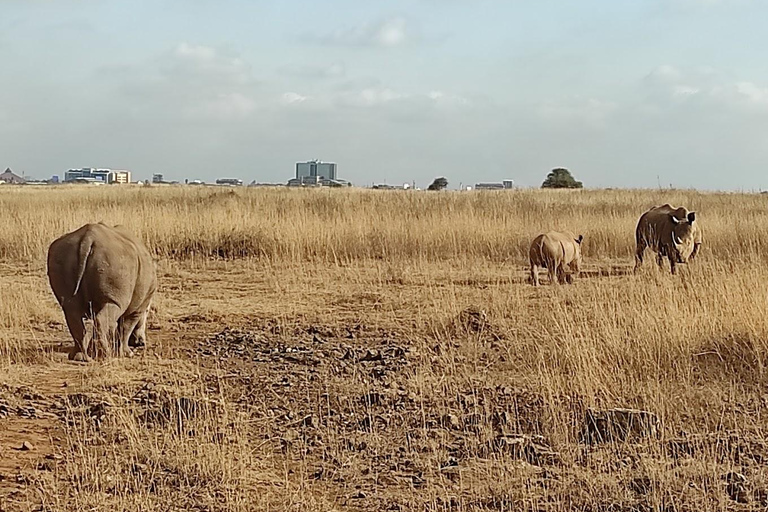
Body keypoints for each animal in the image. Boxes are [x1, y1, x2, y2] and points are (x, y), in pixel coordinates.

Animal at [46, 223, 158, 360]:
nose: (140, 343)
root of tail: (88, 238)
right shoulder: (139, 307)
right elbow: (126, 327)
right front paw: (126, 353)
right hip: (116, 260)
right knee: (108, 310)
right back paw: (104, 355)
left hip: (63, 255)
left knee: (70, 309)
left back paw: (79, 357)